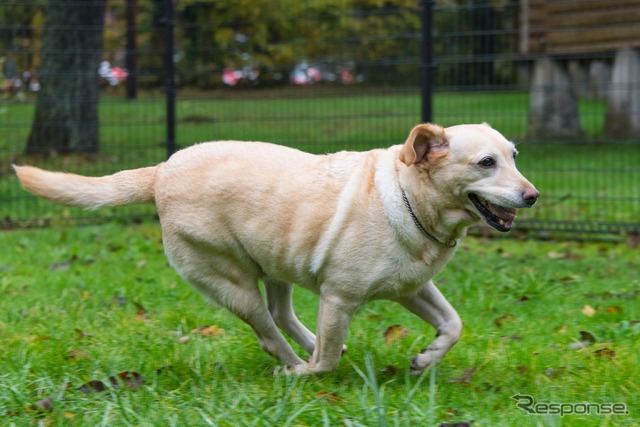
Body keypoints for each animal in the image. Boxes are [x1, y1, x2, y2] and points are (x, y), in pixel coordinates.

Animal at [12, 123, 536, 374]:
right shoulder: (340, 298)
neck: (408, 198)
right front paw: (316, 370)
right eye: (486, 163)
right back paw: (295, 368)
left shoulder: (412, 288)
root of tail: (160, 172)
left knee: (283, 316)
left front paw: (425, 360)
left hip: (278, 261)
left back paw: (309, 347)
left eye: (513, 156)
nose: (532, 195)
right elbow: (328, 361)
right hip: (233, 284)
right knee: (269, 332)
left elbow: (454, 324)